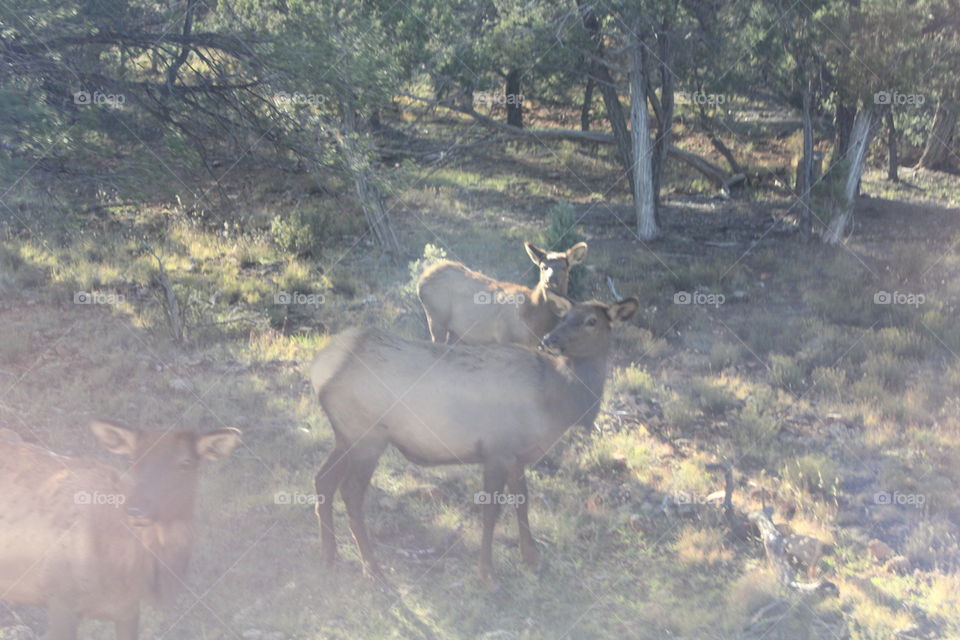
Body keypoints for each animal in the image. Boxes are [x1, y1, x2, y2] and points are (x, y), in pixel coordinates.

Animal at [309, 292, 637, 588]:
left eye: (591, 321)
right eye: (564, 316)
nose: (550, 340)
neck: (556, 402)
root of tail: (320, 367)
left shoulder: (517, 455)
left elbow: (522, 502)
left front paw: (531, 558)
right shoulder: (498, 451)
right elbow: (491, 512)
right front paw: (487, 573)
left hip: (345, 436)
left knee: (322, 479)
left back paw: (329, 556)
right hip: (368, 435)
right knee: (351, 493)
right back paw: (373, 569)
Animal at [417, 241, 588, 347]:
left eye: (565, 267)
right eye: (543, 267)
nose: (551, 279)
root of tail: (421, 281)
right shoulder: (504, 337)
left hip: (456, 331)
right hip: (436, 317)